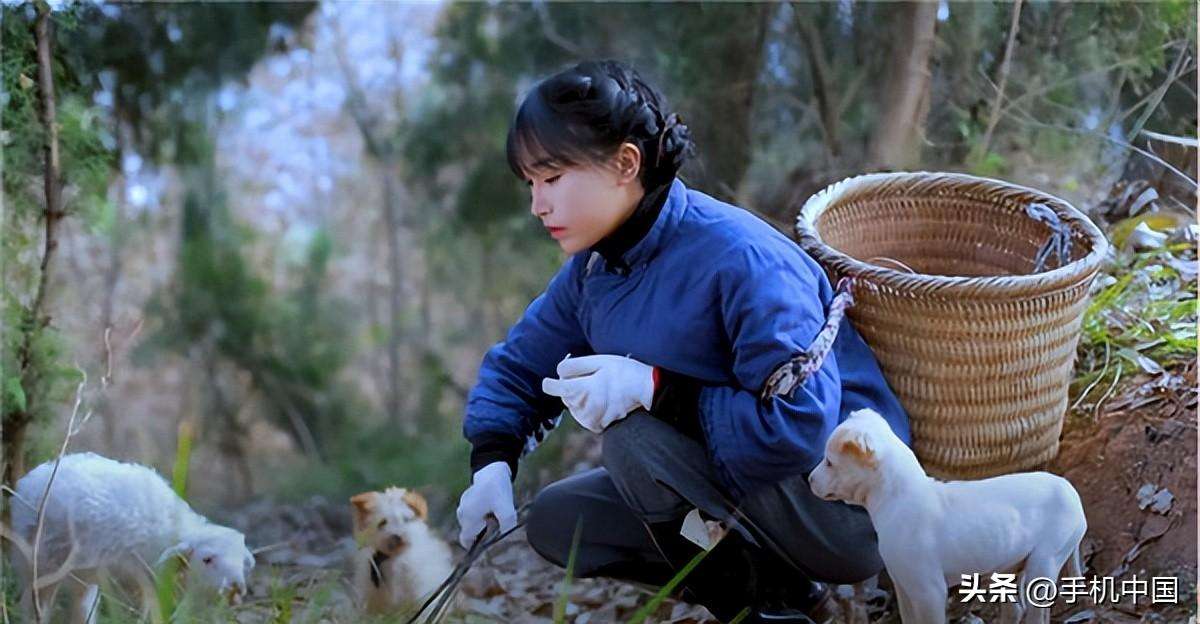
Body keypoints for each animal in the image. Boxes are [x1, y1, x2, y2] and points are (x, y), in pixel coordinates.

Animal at [9, 453, 254, 624]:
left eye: (242, 563)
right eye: (207, 559)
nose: (236, 588)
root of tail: (30, 477)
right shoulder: (142, 578)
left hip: (81, 573)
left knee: (81, 606)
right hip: (39, 562)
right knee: (34, 604)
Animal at [806, 410, 1089, 624]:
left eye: (829, 462)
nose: (809, 480)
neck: (898, 498)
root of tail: (1071, 491)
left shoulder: (929, 593)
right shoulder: (904, 587)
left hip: (1043, 564)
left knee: (1037, 615)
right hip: (1013, 567)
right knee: (1016, 610)